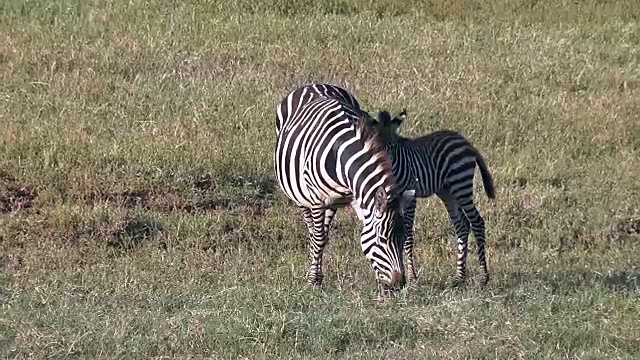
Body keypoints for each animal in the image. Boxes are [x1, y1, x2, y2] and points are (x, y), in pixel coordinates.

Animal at [274, 93, 416, 290]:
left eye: (402, 239)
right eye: (382, 239)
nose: (398, 284)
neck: (340, 156)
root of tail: (315, 86)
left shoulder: (357, 197)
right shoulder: (316, 198)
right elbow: (318, 239)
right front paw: (312, 282)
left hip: (332, 201)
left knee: (323, 233)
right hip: (301, 195)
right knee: (313, 232)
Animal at [368, 109, 498, 286]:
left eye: (393, 147)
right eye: (378, 148)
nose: (384, 163)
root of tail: (465, 142)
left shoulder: (410, 196)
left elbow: (408, 236)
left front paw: (412, 276)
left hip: (461, 185)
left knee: (477, 222)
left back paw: (484, 277)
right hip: (447, 191)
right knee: (462, 225)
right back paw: (459, 276)